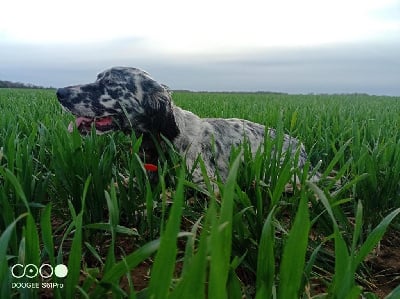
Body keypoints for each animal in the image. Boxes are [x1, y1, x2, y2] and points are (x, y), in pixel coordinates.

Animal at [56, 67, 312, 186]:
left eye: (109, 83)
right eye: (97, 78)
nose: (59, 93)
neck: (162, 140)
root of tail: (301, 146)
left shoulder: (205, 182)